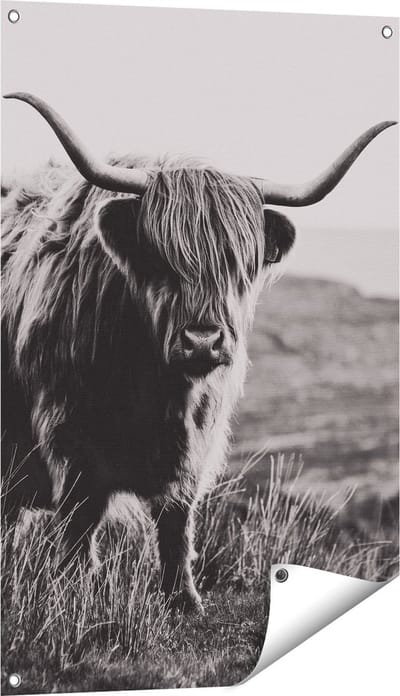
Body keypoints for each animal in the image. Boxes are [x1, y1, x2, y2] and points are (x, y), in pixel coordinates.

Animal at [1, 92, 396, 611]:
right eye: (160, 258)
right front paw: (74, 592)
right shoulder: (69, 435)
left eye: (238, 263)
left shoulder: (197, 443)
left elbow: (176, 520)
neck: (158, 389)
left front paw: (183, 600)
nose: (203, 340)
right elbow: (80, 521)